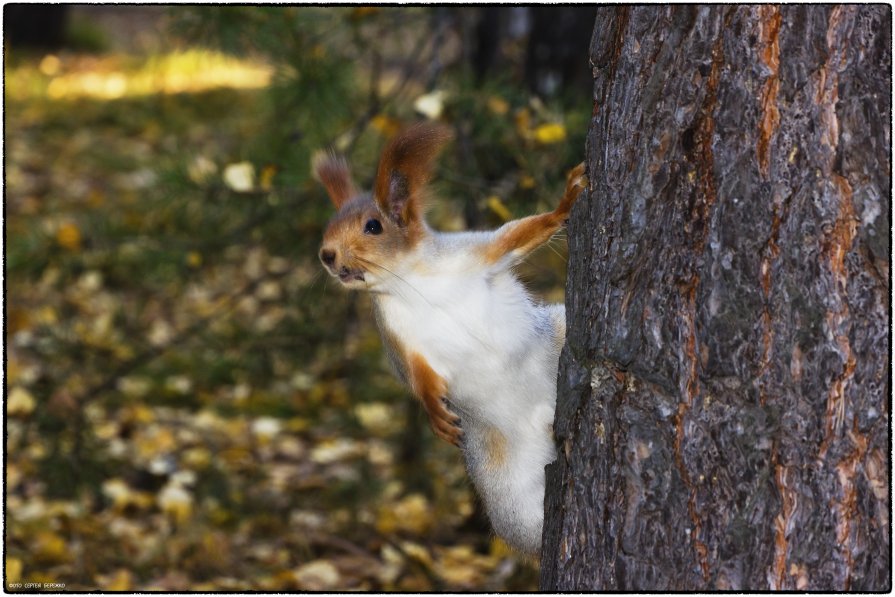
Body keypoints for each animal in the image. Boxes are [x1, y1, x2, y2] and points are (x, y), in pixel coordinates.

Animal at [316, 122, 588, 556]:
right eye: (328, 226)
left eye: (373, 226)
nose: (326, 255)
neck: (411, 281)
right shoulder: (399, 337)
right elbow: (415, 376)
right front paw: (433, 412)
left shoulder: (476, 252)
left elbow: (517, 235)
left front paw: (566, 203)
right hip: (507, 490)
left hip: (558, 330)